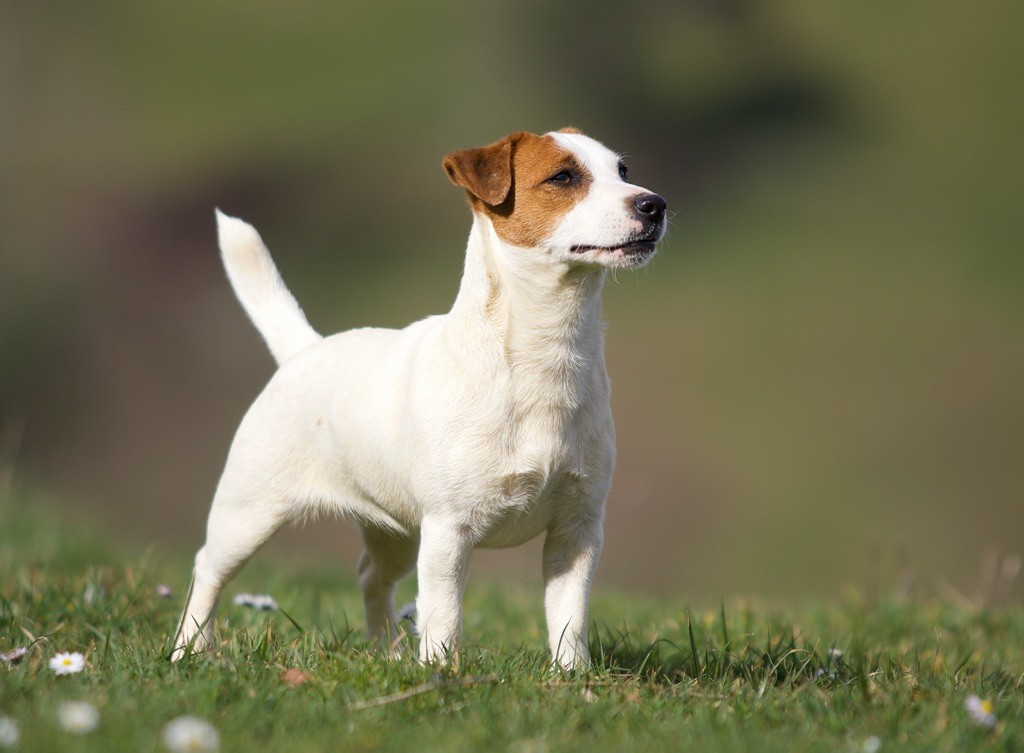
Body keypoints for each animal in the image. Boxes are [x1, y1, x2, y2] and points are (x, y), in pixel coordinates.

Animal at [172, 128, 667, 663]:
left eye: (622, 170)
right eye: (563, 177)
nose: (654, 203)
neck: (545, 355)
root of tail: (304, 349)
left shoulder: (577, 530)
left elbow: (569, 619)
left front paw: (572, 676)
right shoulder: (449, 530)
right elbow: (443, 617)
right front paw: (438, 671)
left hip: (395, 531)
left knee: (370, 576)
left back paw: (385, 652)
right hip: (248, 513)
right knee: (207, 570)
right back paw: (187, 649)